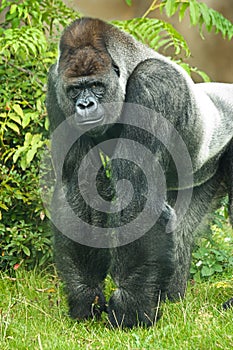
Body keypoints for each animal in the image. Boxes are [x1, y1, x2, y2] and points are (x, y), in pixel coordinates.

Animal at [45, 17, 233, 328]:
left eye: (96, 86)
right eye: (74, 90)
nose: (84, 105)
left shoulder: (153, 85)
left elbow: (136, 189)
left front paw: (128, 310)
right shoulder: (54, 86)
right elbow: (79, 185)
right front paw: (87, 296)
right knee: (182, 225)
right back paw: (171, 296)